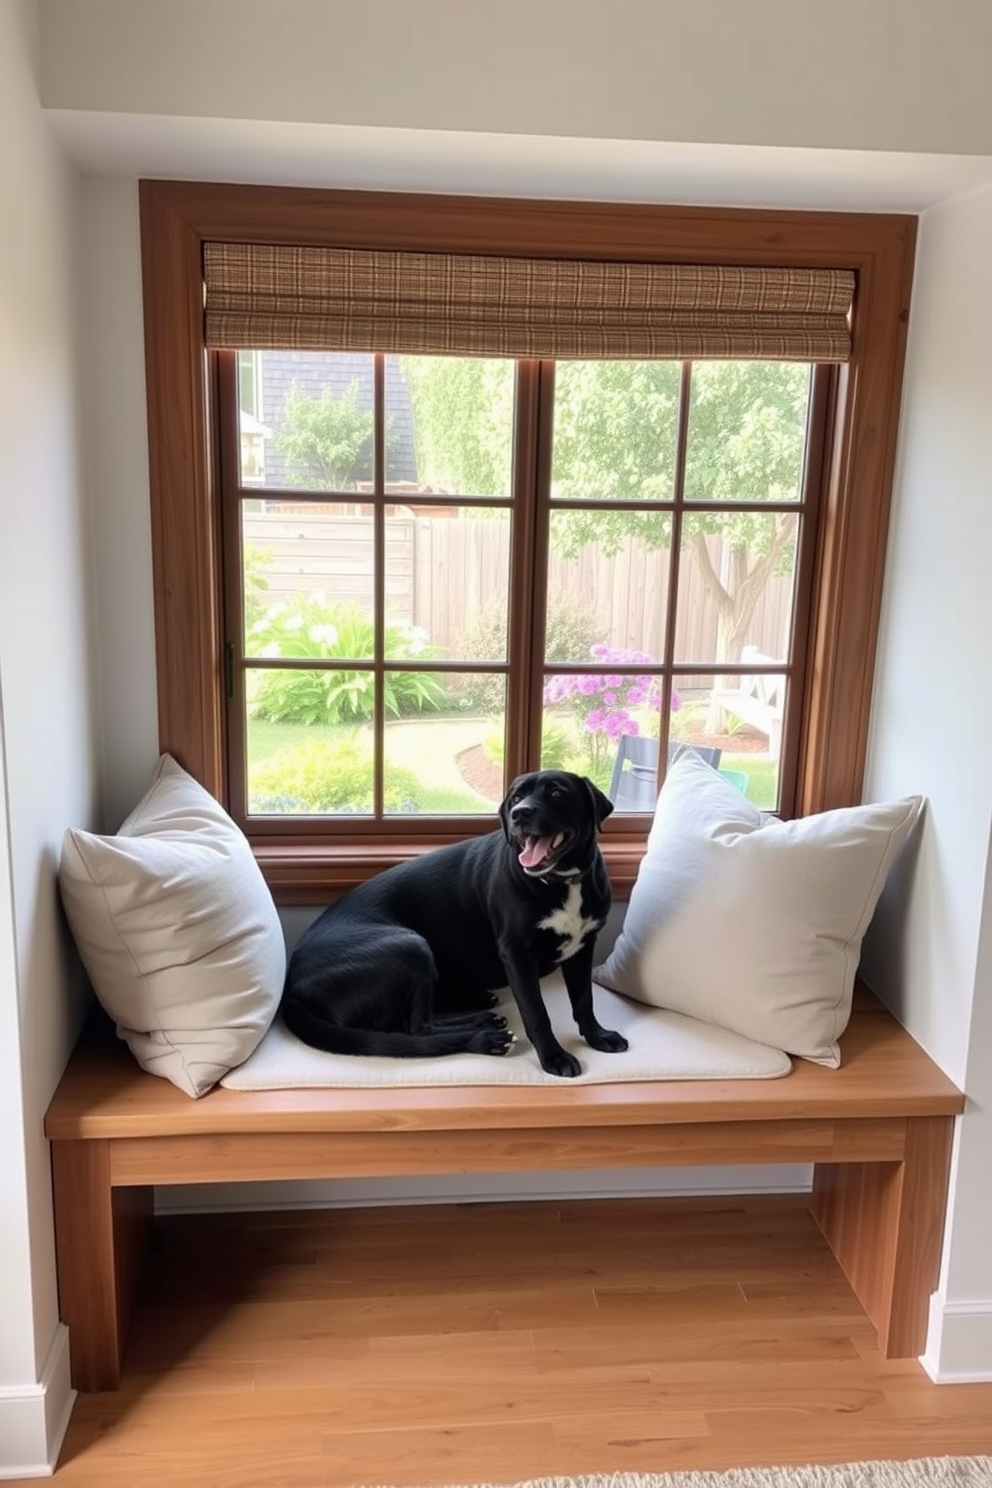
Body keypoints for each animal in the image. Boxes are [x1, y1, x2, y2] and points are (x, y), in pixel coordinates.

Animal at [281, 773, 627, 1077]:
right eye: (516, 798)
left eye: (556, 793)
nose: (519, 814)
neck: (561, 882)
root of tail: (292, 985)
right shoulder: (517, 955)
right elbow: (536, 1012)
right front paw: (554, 1056)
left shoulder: (583, 947)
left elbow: (584, 1000)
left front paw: (598, 1036)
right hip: (409, 946)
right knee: (417, 1027)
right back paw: (483, 1034)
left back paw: (480, 1009)